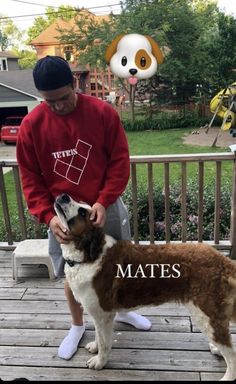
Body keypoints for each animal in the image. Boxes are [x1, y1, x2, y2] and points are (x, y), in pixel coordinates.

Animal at [54, 194, 236, 380]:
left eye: (82, 212)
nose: (64, 196)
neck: (88, 254)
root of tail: (223, 261)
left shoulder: (103, 314)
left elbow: (105, 342)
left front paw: (99, 361)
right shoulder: (98, 313)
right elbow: (99, 335)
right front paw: (95, 347)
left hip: (206, 315)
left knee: (231, 353)